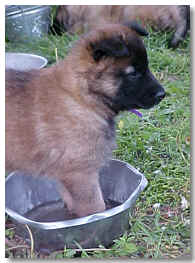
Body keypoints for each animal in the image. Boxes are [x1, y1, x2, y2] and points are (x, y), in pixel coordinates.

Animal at [5, 21, 165, 219]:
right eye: (133, 73)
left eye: (147, 67)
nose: (162, 94)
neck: (83, 96)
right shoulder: (80, 174)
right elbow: (95, 207)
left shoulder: (65, 175)